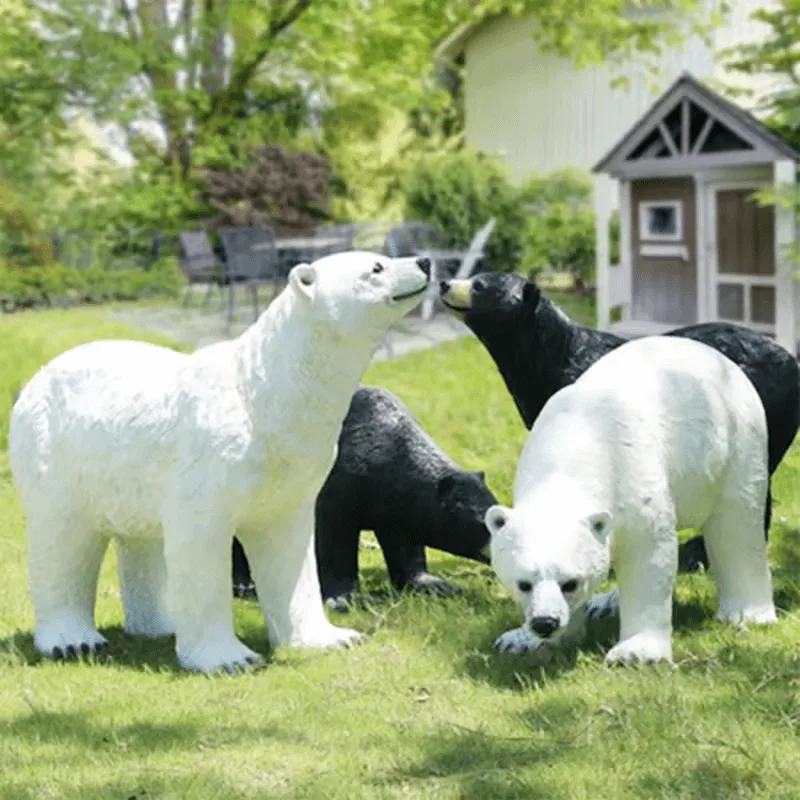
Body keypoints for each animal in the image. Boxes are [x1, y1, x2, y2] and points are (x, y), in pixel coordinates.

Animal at [9, 251, 431, 674]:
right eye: (376, 267)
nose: (425, 261)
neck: (262, 391)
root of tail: (35, 378)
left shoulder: (293, 469)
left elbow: (288, 547)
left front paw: (331, 638)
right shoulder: (210, 460)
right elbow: (200, 545)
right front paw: (229, 658)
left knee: (140, 536)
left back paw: (160, 625)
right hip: (55, 451)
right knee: (62, 539)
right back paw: (72, 641)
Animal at [230, 385, 495, 611]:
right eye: (488, 523)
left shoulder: (399, 505)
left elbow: (405, 543)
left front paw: (437, 584)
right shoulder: (338, 484)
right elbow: (335, 537)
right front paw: (345, 599)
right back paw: (244, 585)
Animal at [484, 335, 777, 665]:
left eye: (570, 582)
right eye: (523, 583)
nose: (544, 623)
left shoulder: (633, 476)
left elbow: (647, 555)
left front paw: (635, 654)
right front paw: (520, 640)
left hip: (737, 441)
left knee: (736, 524)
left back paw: (747, 613)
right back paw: (605, 603)